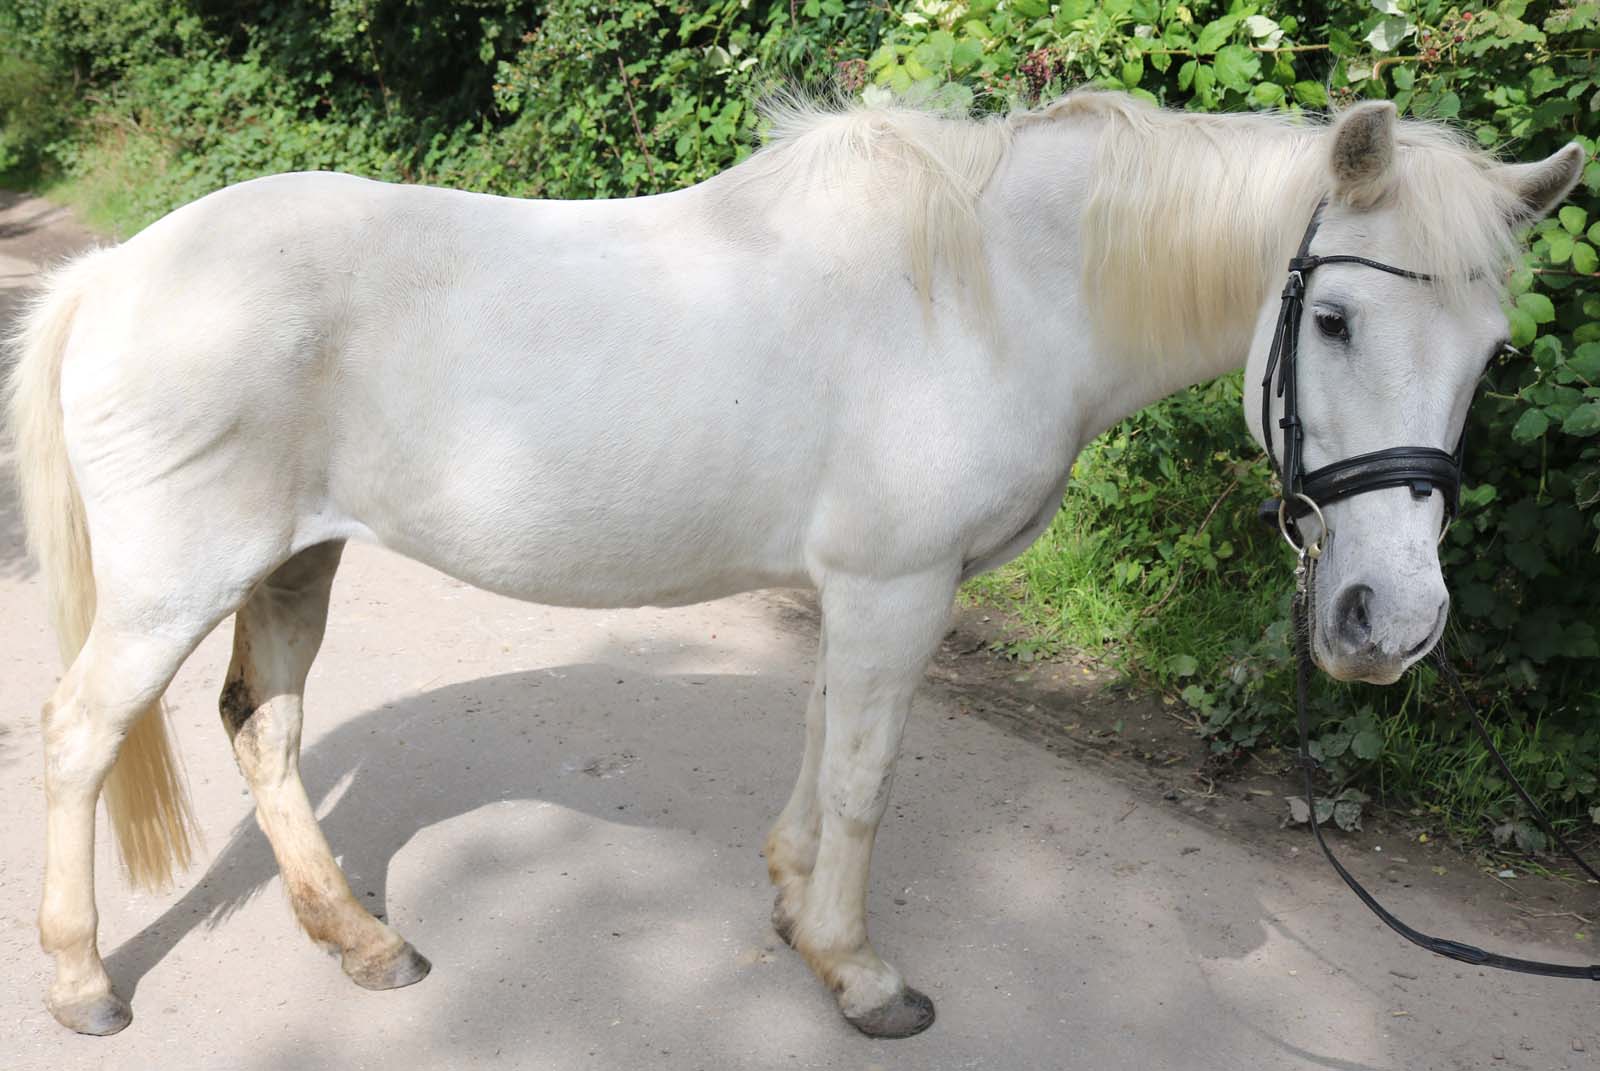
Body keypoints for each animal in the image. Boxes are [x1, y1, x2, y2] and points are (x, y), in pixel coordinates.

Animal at [6, 94, 1580, 1037]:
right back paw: (83, 979)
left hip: (297, 565)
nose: (1392, 622)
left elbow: (825, 744)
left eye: (1491, 355)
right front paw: (860, 971)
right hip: (174, 587)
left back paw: (360, 938)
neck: (988, 292)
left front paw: (792, 910)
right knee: (81, 735)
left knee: (261, 732)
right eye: (1335, 324)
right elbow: (869, 774)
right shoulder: (898, 585)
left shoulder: (861, 588)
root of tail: (117, 272)